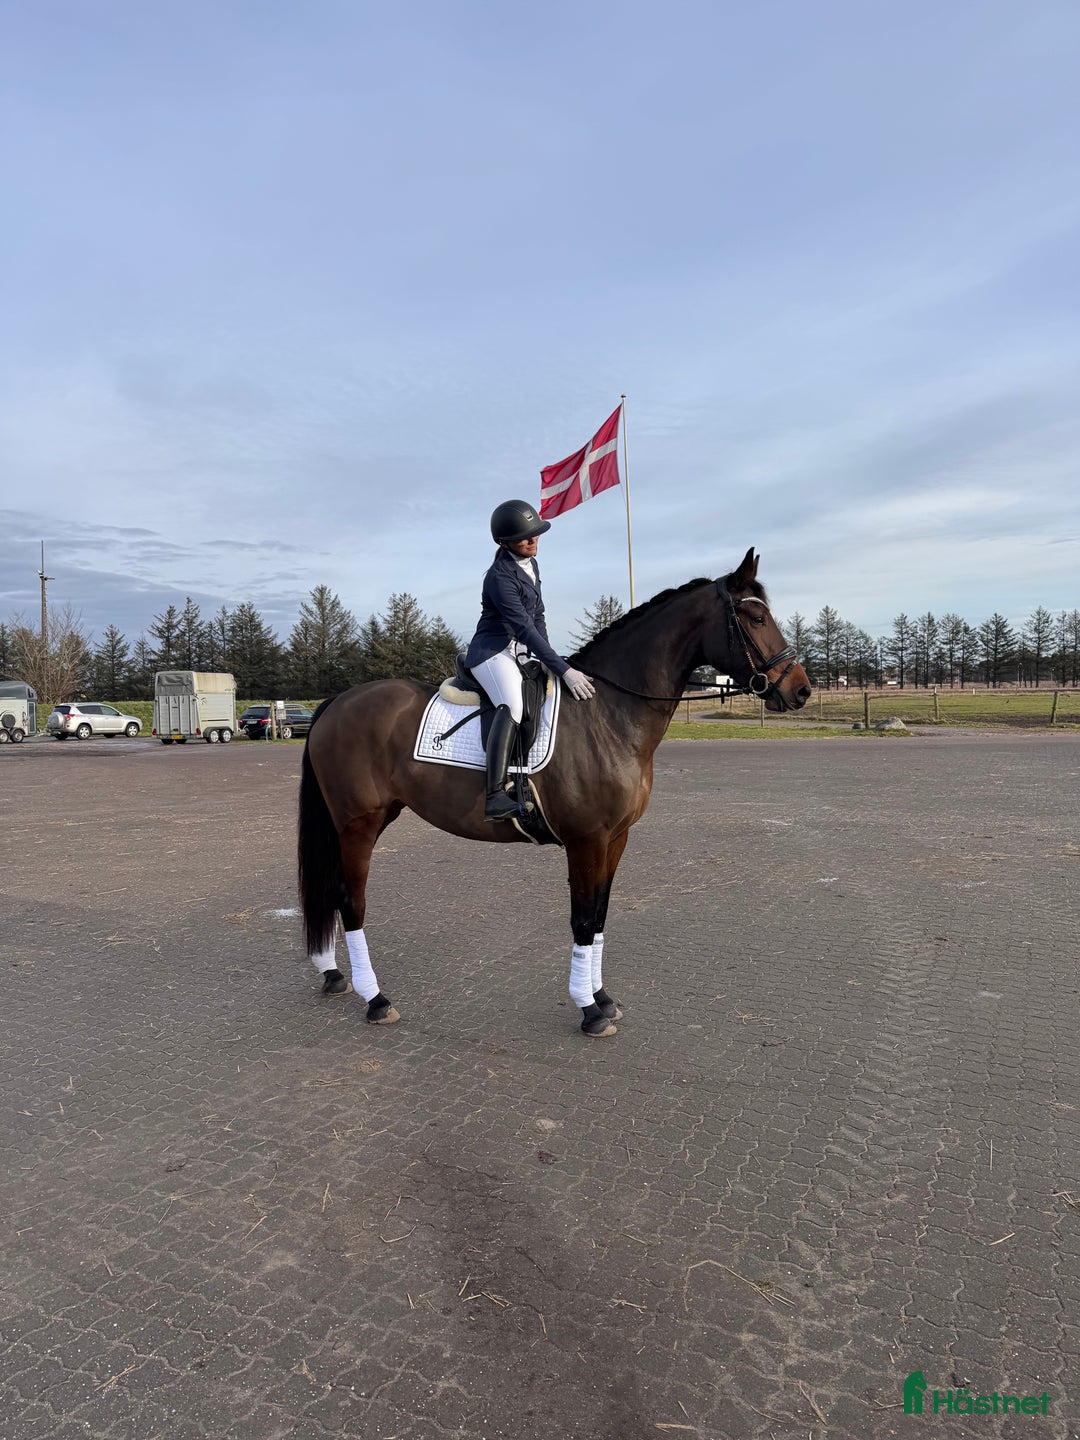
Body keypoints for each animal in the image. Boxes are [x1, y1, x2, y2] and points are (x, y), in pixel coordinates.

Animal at [298, 547, 811, 1037]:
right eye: (756, 618)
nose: (801, 690)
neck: (608, 712)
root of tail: (337, 702)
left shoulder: (616, 838)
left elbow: (599, 915)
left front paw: (602, 998)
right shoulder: (587, 839)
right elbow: (582, 919)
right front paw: (589, 1010)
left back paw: (334, 975)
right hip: (359, 823)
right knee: (351, 900)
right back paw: (376, 1000)